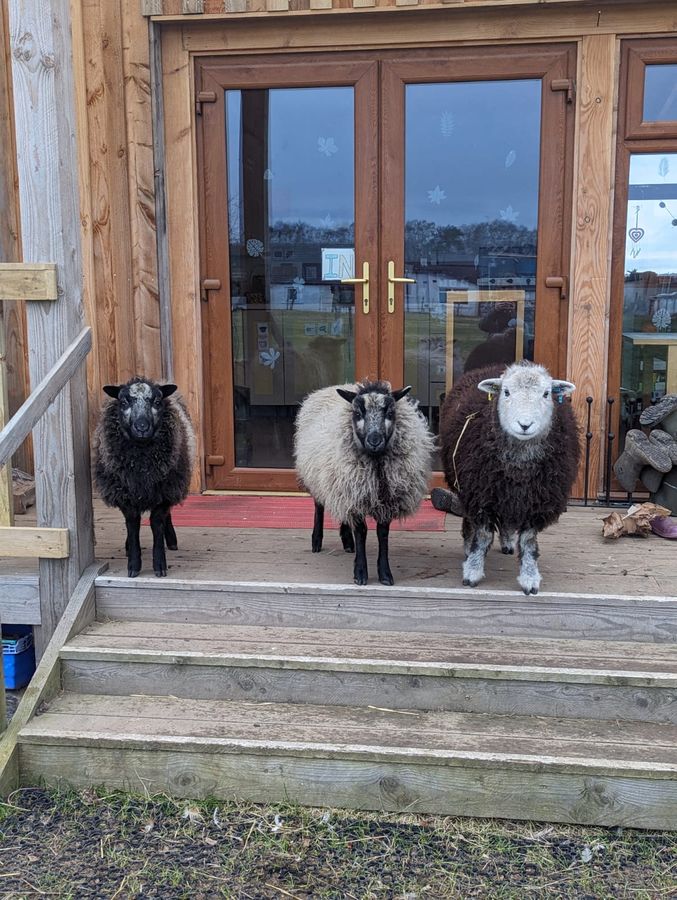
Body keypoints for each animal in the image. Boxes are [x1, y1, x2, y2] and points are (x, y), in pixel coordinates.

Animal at [94, 377, 196, 578]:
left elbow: (157, 524)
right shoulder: (126, 496)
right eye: (123, 402)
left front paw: (160, 565)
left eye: (157, 402)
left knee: (167, 516)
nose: (142, 427)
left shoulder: (164, 492)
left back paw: (171, 540)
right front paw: (133, 565)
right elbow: (132, 526)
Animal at [294, 380, 435, 586]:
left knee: (342, 512)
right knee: (319, 506)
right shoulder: (355, 497)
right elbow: (361, 532)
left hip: (342, 484)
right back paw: (316, 541)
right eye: (358, 414)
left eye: (390, 413)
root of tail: (336, 386)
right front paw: (360, 573)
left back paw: (347, 541)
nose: (374, 440)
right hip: (319, 475)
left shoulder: (382, 500)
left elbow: (382, 533)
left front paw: (385, 573)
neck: (375, 468)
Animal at [439, 361, 579, 595]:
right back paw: (468, 546)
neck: (519, 466)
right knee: (470, 519)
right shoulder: (481, 494)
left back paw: (506, 542)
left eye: (546, 393)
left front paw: (529, 578)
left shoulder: (536, 501)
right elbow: (483, 535)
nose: (525, 424)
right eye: (506, 392)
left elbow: (528, 541)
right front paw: (473, 571)